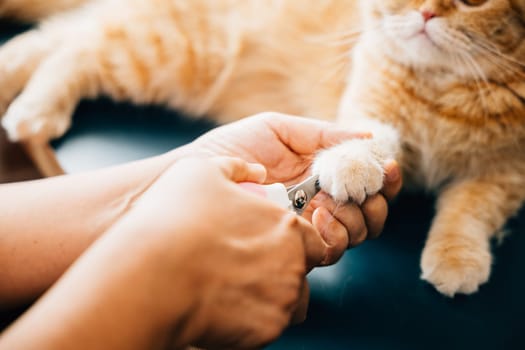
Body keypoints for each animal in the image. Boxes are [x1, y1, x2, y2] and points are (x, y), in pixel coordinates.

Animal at [1, 0, 524, 298]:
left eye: (472, 1)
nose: (426, 15)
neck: (447, 86)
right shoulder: (371, 108)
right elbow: (365, 142)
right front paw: (352, 165)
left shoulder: (505, 173)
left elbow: (470, 211)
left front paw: (456, 258)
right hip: (167, 53)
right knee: (79, 45)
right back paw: (35, 108)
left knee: (64, 33)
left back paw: (11, 80)